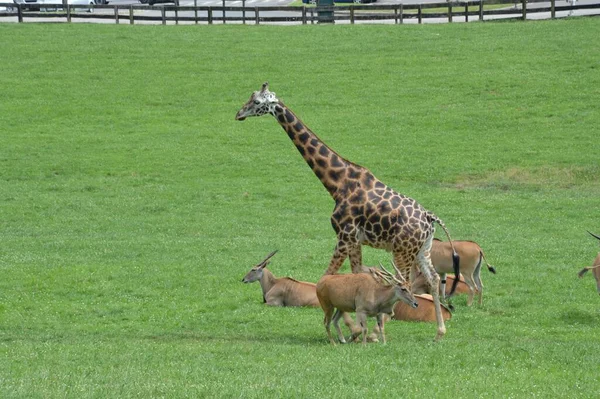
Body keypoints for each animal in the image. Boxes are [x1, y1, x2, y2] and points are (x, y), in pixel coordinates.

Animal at [236, 83, 460, 342]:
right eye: (250, 98)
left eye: (256, 102)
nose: (238, 114)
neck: (337, 183)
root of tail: (430, 219)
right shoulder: (355, 239)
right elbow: (355, 274)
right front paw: (355, 327)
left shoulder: (344, 235)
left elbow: (327, 275)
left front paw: (354, 329)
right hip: (423, 250)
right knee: (433, 279)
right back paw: (439, 332)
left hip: (402, 251)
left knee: (404, 280)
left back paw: (379, 330)